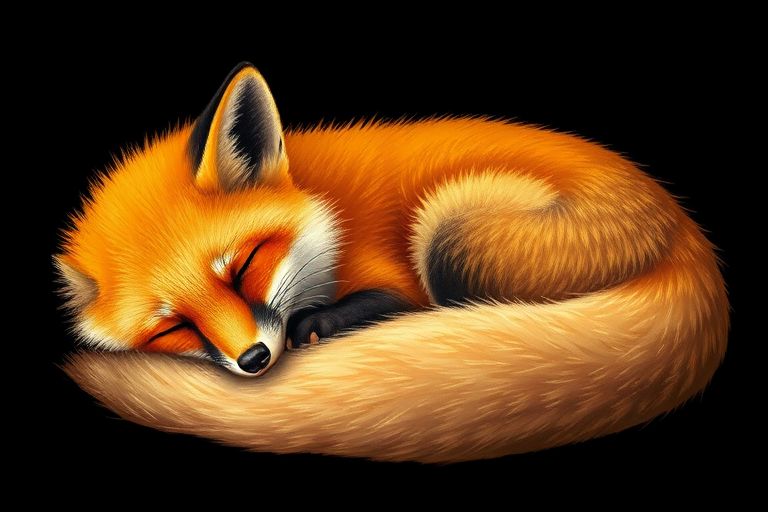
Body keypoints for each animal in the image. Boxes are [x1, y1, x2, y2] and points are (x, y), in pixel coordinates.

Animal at [56, 61, 729, 463]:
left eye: (244, 266)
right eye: (173, 327)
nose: (254, 360)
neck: (325, 203)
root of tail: (685, 232)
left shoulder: (394, 269)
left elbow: (394, 302)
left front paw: (322, 323)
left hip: (453, 230)